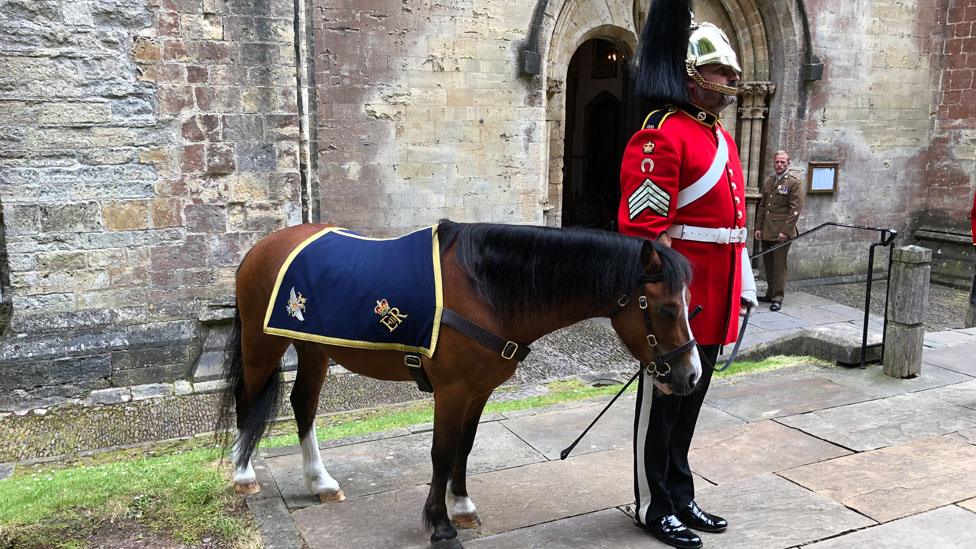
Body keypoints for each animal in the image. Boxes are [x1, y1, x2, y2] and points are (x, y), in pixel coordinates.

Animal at [217, 219, 696, 548]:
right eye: (668, 308)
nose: (691, 374)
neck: (487, 289)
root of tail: (261, 247)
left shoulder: (478, 390)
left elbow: (464, 448)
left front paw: (462, 506)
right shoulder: (451, 391)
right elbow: (442, 452)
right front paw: (440, 524)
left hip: (315, 349)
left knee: (303, 405)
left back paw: (320, 482)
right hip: (261, 343)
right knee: (247, 397)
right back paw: (243, 474)